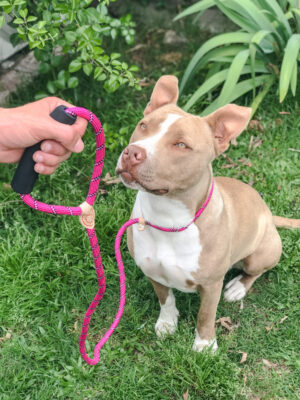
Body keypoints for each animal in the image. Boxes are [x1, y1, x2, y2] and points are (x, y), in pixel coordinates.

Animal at [115, 76, 300, 352]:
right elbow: (166, 300)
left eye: (181, 144)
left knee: (255, 271)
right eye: (143, 126)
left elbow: (205, 315)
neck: (167, 218)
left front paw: (204, 345)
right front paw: (167, 324)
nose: (132, 153)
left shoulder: (212, 285)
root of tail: (268, 212)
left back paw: (237, 287)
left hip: (262, 254)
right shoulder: (153, 273)